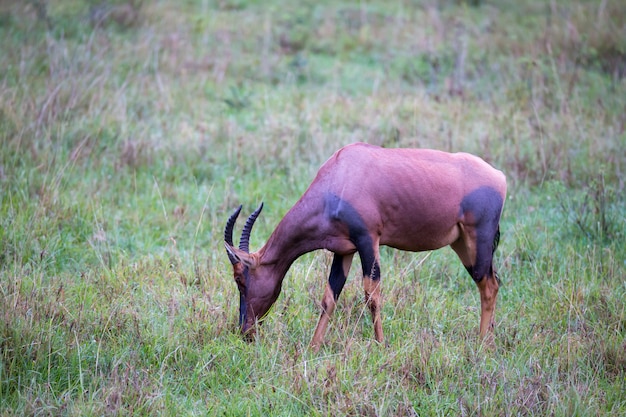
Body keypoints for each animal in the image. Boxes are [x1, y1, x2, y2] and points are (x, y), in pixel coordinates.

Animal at [222, 141, 504, 350]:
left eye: (240, 279)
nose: (245, 332)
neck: (340, 175)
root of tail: (498, 177)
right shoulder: (344, 250)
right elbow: (329, 296)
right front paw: (313, 347)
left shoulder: (368, 239)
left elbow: (371, 293)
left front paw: (380, 345)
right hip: (461, 243)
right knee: (493, 281)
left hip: (478, 238)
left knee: (488, 285)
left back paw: (482, 345)